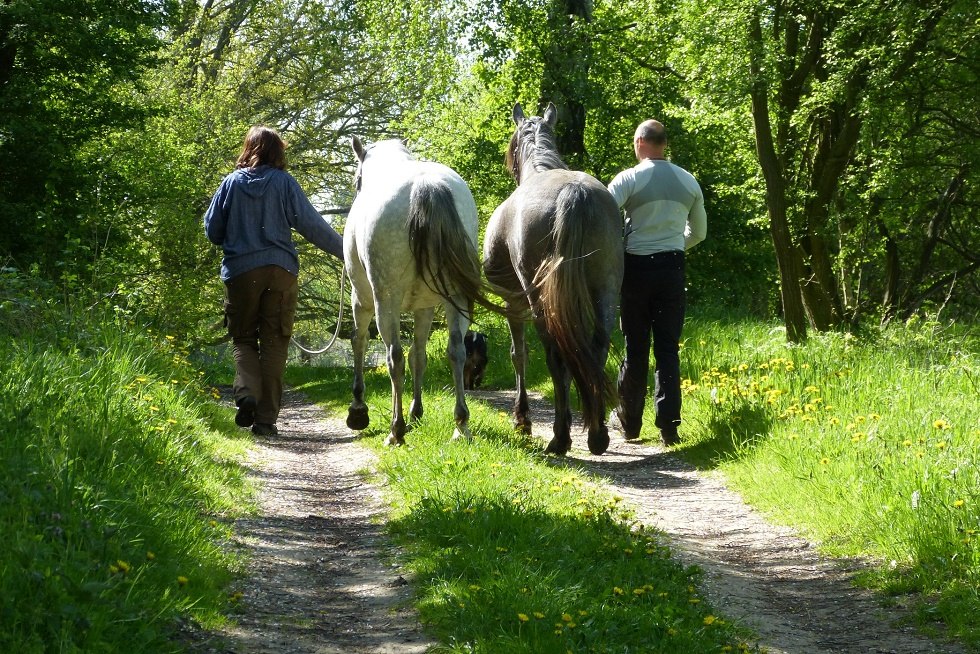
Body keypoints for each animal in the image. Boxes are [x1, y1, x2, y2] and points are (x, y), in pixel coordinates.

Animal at [344, 138, 482, 446]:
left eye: (357, 180)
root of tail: (426, 185)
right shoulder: (424, 307)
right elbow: (419, 355)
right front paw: (416, 412)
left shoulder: (361, 299)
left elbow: (359, 341)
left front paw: (358, 410)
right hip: (455, 299)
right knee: (456, 350)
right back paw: (461, 425)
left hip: (385, 301)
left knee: (393, 356)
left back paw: (396, 430)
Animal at [486, 104, 624, 456]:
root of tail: (574, 193)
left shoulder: (513, 298)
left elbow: (518, 354)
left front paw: (522, 420)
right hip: (606, 288)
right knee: (595, 347)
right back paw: (597, 433)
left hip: (539, 300)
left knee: (556, 354)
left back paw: (560, 437)